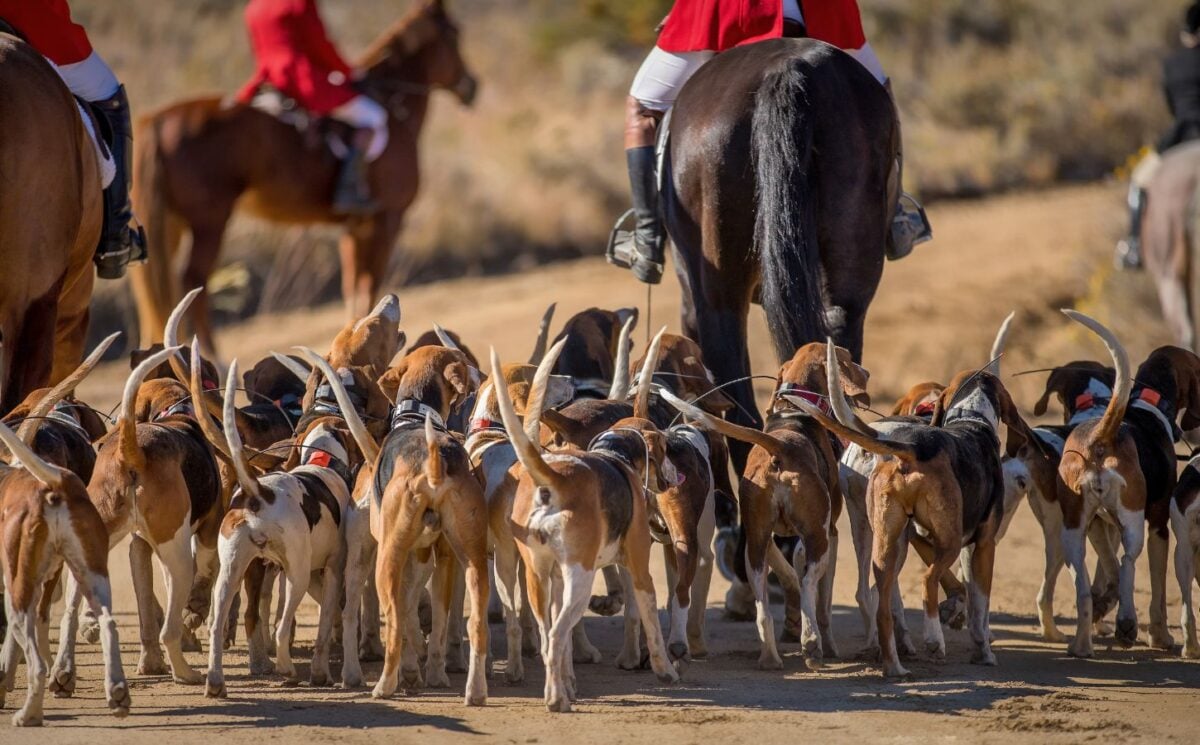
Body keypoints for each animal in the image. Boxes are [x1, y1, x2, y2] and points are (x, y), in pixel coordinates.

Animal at [126, 0, 472, 355]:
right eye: (455, 35)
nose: (471, 86)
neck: (391, 106)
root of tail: (157, 120)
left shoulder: (356, 227)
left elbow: (353, 288)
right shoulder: (387, 221)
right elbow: (368, 285)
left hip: (170, 225)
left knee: (156, 290)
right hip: (210, 221)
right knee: (193, 282)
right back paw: (211, 356)